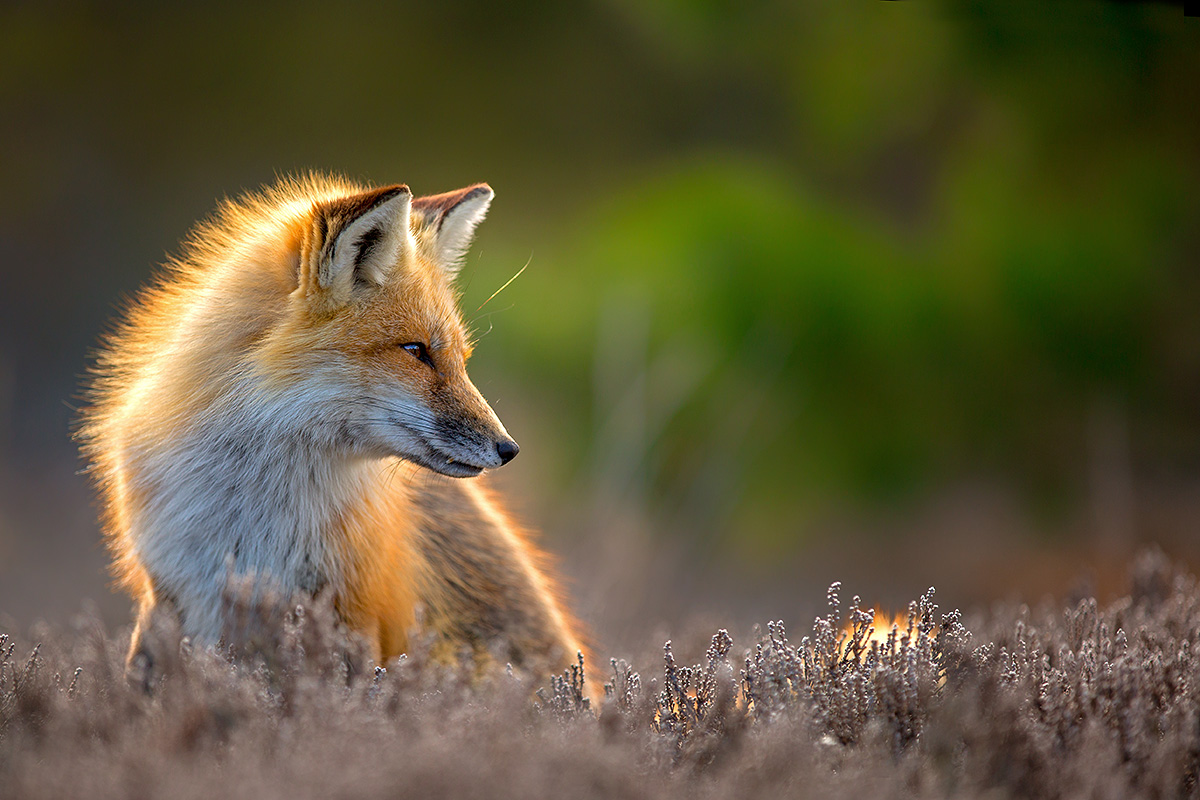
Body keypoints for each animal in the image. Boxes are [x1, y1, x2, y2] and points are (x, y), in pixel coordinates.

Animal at [79, 174, 588, 689]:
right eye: (416, 350)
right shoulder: (168, 589)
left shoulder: (351, 610)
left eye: (461, 359)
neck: (252, 519)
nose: (509, 449)